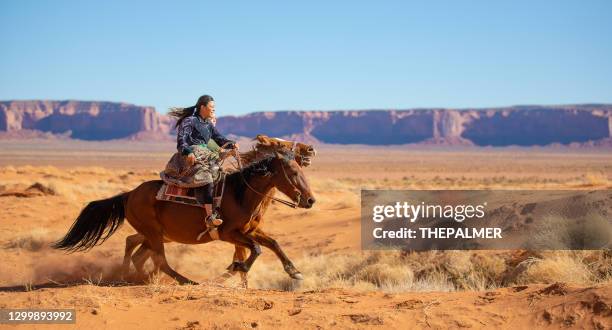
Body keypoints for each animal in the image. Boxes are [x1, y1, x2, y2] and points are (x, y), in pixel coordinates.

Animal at [52, 146, 316, 284]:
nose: (310, 200)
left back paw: (136, 276)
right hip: (153, 233)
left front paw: (294, 271)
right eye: (293, 172)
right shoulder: (228, 233)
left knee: (136, 251)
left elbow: (273, 243)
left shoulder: (251, 230)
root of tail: (129, 195)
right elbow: (257, 249)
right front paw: (237, 266)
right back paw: (184, 281)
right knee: (159, 260)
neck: (241, 194)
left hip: (155, 235)